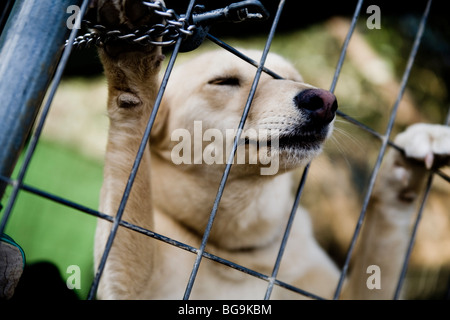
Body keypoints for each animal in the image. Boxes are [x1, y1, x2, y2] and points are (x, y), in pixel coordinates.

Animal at [92, 0, 450, 300]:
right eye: (223, 82)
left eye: (290, 77)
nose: (325, 102)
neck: (238, 249)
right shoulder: (133, 285)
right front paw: (131, 60)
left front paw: (406, 169)